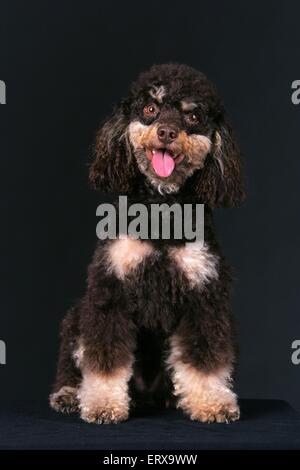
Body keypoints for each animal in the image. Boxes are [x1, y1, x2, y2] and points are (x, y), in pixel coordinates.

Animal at [50, 61, 245, 422]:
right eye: (150, 109)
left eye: (193, 116)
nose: (167, 132)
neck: (162, 211)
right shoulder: (109, 292)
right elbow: (105, 359)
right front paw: (102, 403)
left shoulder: (206, 297)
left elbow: (205, 357)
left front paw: (211, 401)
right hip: (76, 315)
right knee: (72, 360)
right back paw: (69, 393)